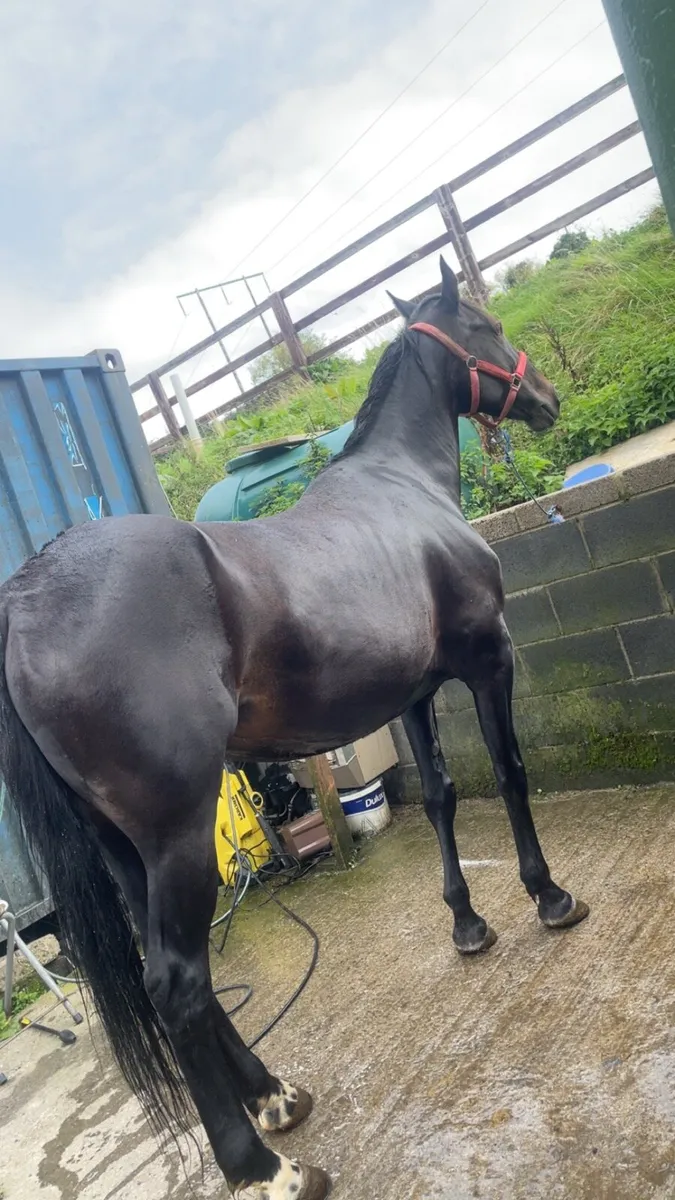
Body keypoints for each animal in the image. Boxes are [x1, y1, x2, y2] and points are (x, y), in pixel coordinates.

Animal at [0, 259, 588, 1200]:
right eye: (488, 324)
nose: (545, 396)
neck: (402, 487)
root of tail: (27, 596)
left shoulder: (412, 693)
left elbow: (438, 795)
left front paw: (465, 924)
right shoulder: (486, 660)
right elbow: (507, 774)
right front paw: (548, 897)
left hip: (126, 851)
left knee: (183, 975)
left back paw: (274, 1096)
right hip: (178, 837)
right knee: (177, 983)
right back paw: (262, 1165)